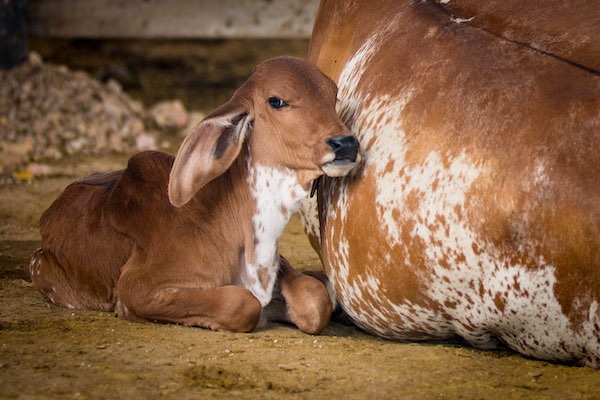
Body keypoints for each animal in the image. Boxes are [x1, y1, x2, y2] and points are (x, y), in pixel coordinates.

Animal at [28, 54, 358, 332]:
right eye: (276, 101)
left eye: (333, 96)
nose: (346, 144)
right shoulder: (137, 289)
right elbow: (242, 304)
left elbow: (315, 299)